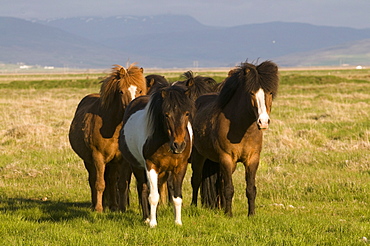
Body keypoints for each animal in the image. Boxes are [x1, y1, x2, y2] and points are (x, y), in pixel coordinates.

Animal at [68, 64, 147, 212]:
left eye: (140, 90)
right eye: (121, 91)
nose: (131, 108)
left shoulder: (123, 160)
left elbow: (121, 184)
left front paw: (122, 208)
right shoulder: (97, 157)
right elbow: (99, 183)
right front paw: (98, 209)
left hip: (112, 163)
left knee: (111, 180)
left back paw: (113, 205)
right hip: (89, 161)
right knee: (93, 179)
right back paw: (96, 204)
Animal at [118, 85, 194, 228]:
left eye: (187, 113)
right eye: (166, 114)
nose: (179, 145)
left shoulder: (180, 167)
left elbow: (177, 197)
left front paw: (178, 222)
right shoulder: (151, 166)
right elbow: (153, 196)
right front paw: (153, 223)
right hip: (137, 166)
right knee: (143, 189)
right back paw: (147, 218)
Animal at [189, 60, 278, 216]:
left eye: (270, 92)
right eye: (251, 93)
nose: (263, 122)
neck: (242, 130)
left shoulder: (252, 159)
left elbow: (250, 189)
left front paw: (251, 214)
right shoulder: (226, 158)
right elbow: (229, 188)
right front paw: (229, 215)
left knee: (220, 182)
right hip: (198, 155)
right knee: (196, 180)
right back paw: (194, 206)